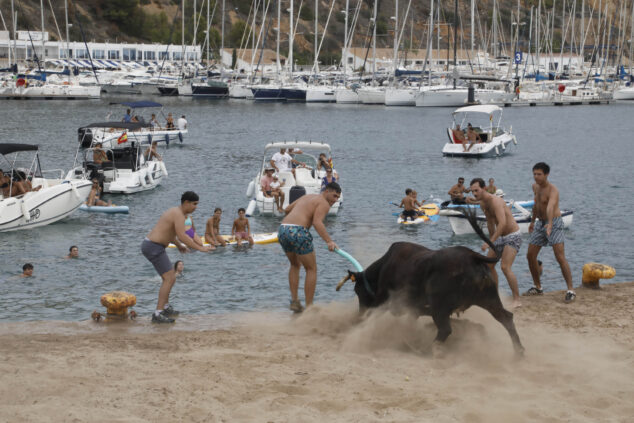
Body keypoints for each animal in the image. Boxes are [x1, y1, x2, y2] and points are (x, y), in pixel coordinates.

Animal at [336, 211, 524, 354]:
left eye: (358, 291)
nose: (360, 314)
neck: (383, 267)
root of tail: (472, 256)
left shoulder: (391, 302)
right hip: (488, 299)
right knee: (506, 318)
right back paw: (518, 352)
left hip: (441, 306)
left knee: (445, 329)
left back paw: (427, 349)